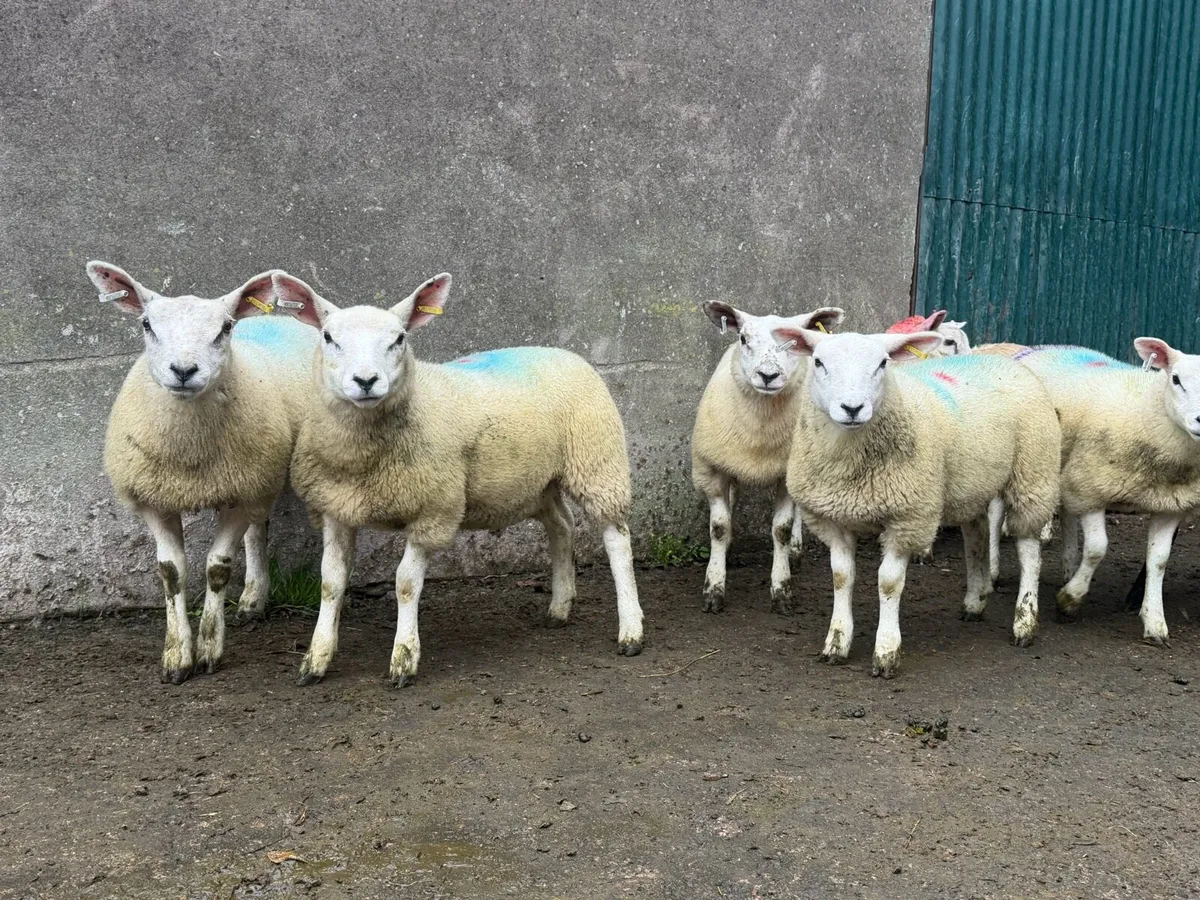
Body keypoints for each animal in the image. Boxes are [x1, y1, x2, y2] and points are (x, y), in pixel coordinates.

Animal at [89, 261, 317, 683]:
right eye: (147, 324)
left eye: (225, 328)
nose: (183, 371)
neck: (189, 456)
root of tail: (276, 316)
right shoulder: (154, 499)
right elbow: (171, 572)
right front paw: (177, 656)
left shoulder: (241, 493)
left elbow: (217, 568)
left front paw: (210, 648)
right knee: (258, 529)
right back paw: (252, 600)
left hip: (259, 476)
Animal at [267, 270, 646, 687]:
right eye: (328, 337)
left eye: (399, 338)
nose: (366, 381)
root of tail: (564, 352)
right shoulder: (335, 508)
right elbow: (330, 583)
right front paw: (315, 660)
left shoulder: (433, 511)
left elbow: (405, 584)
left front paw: (404, 658)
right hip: (537, 480)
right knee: (561, 525)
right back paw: (559, 608)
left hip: (597, 462)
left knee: (617, 541)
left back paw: (631, 630)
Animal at [691, 301, 844, 614]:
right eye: (743, 338)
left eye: (794, 343)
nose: (768, 375)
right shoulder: (712, 470)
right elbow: (719, 527)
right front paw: (714, 588)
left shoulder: (785, 473)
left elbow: (781, 529)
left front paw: (782, 590)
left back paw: (795, 552)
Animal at [782, 328, 1061, 676]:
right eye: (818, 362)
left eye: (883, 363)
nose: (852, 408)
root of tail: (1003, 360)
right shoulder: (835, 518)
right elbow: (841, 577)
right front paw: (836, 642)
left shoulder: (908, 519)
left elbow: (889, 583)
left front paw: (886, 652)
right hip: (971, 483)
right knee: (977, 536)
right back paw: (975, 600)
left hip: (1033, 473)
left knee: (1029, 552)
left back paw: (1024, 622)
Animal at [982, 340, 1200, 645]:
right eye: (1176, 379)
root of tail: (1040, 347)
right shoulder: (1090, 489)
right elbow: (1097, 548)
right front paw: (1069, 601)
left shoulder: (1168, 505)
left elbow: (1158, 561)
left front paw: (1155, 622)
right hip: (1023, 462)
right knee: (996, 512)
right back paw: (993, 570)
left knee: (1065, 514)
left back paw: (1068, 566)